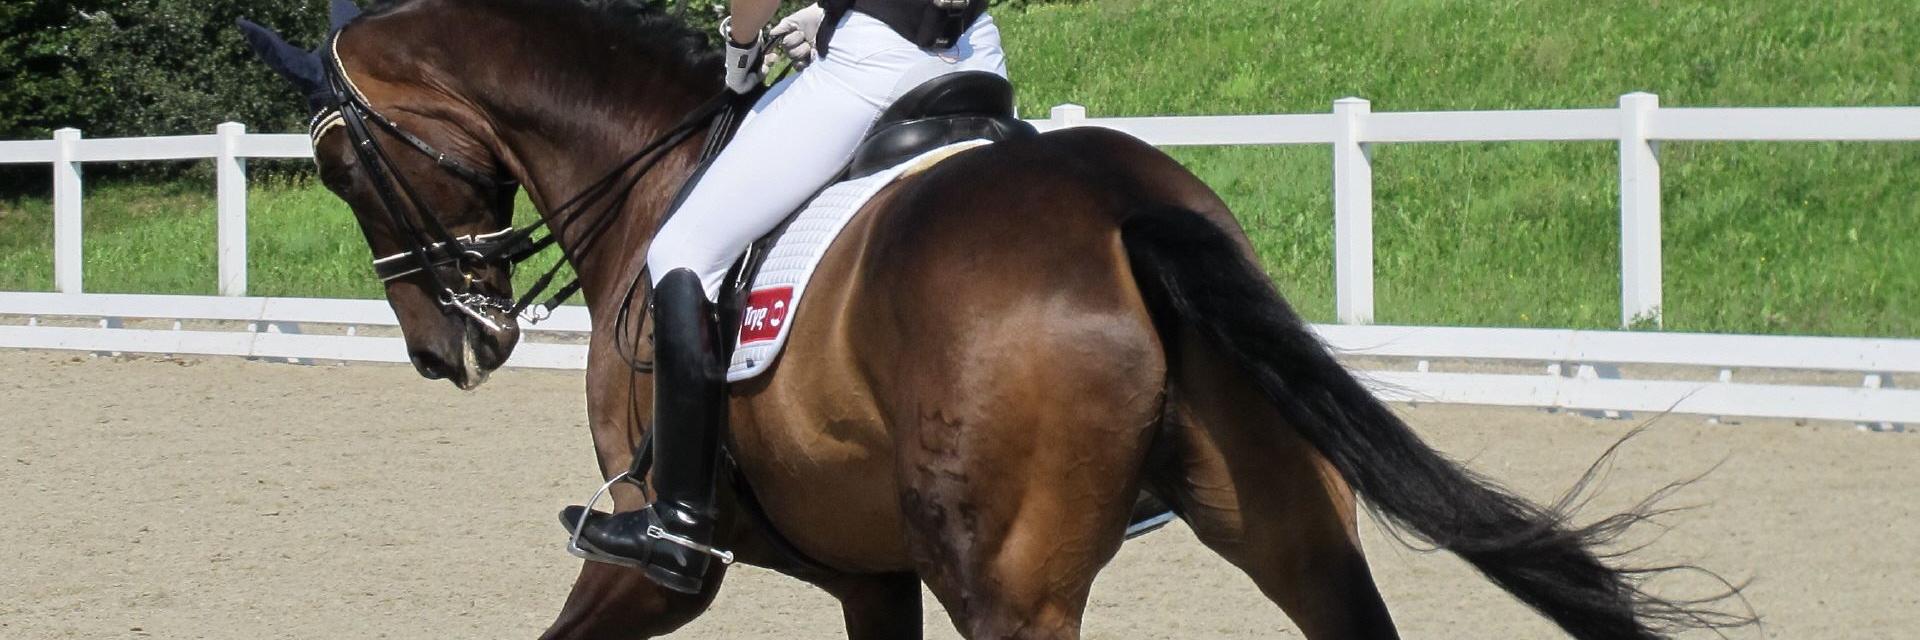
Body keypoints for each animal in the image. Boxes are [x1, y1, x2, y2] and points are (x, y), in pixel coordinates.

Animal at [238, 0, 1744, 638]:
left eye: (338, 162)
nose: (448, 347)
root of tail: (1119, 206)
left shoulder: (659, 560)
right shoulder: (872, 574)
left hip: (1010, 588)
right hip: (1290, 528)